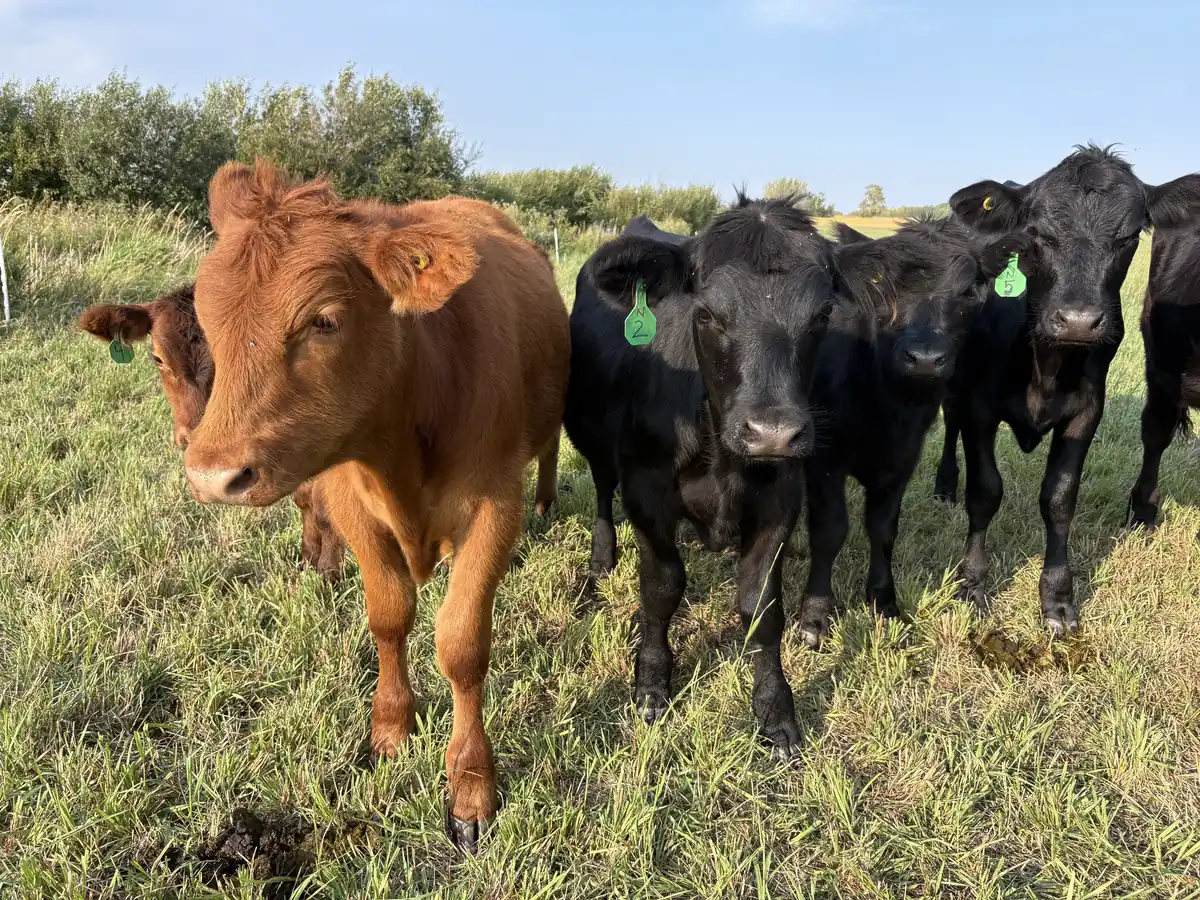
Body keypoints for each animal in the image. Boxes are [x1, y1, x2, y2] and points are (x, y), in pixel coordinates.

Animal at [78, 286, 347, 579]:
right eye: (158, 358)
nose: (195, 436)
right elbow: (304, 498)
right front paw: (309, 559)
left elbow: (324, 507)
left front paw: (328, 573)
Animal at [180, 161, 570, 851]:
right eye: (206, 318)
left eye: (324, 321)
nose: (212, 474)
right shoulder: (351, 505)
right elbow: (389, 616)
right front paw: (390, 728)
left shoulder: (495, 507)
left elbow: (462, 643)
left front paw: (471, 788)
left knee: (548, 449)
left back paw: (549, 503)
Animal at [564, 195, 882, 758]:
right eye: (707, 313)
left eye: (822, 314)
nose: (773, 433)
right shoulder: (646, 493)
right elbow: (662, 586)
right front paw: (651, 684)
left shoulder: (780, 501)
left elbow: (762, 608)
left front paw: (775, 710)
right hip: (590, 433)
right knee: (602, 490)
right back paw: (602, 560)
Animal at [799, 217, 1009, 648]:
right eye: (883, 287)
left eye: (969, 291)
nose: (925, 358)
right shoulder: (824, 457)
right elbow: (830, 531)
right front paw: (815, 615)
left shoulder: (903, 458)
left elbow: (883, 529)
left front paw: (883, 600)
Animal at [935, 144, 1200, 634]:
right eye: (1037, 233)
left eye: (1129, 235)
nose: (1078, 320)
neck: (1046, 362)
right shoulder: (980, 406)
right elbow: (985, 491)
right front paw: (972, 584)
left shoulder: (1085, 411)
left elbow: (1059, 498)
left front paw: (1057, 599)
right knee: (949, 424)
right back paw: (944, 485)